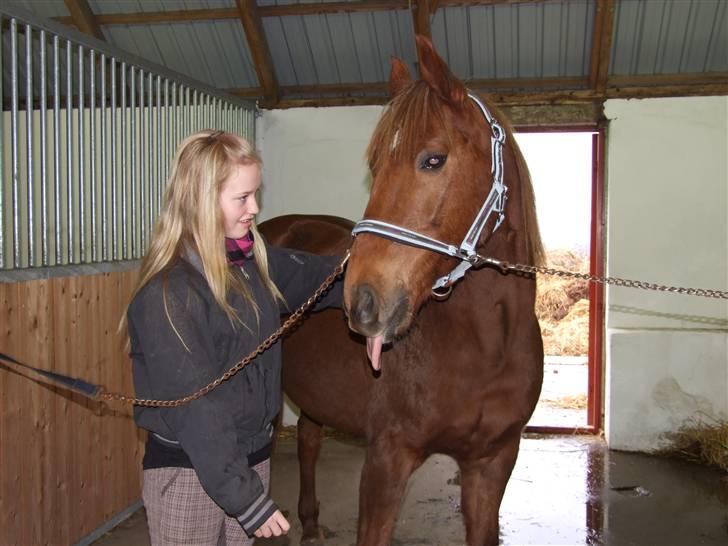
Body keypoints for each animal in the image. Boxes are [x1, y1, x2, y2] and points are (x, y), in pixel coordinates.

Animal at [258, 38, 544, 544]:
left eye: (433, 159)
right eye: (375, 167)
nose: (362, 302)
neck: (485, 346)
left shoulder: (493, 463)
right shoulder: (386, 461)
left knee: (309, 440)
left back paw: (310, 523)